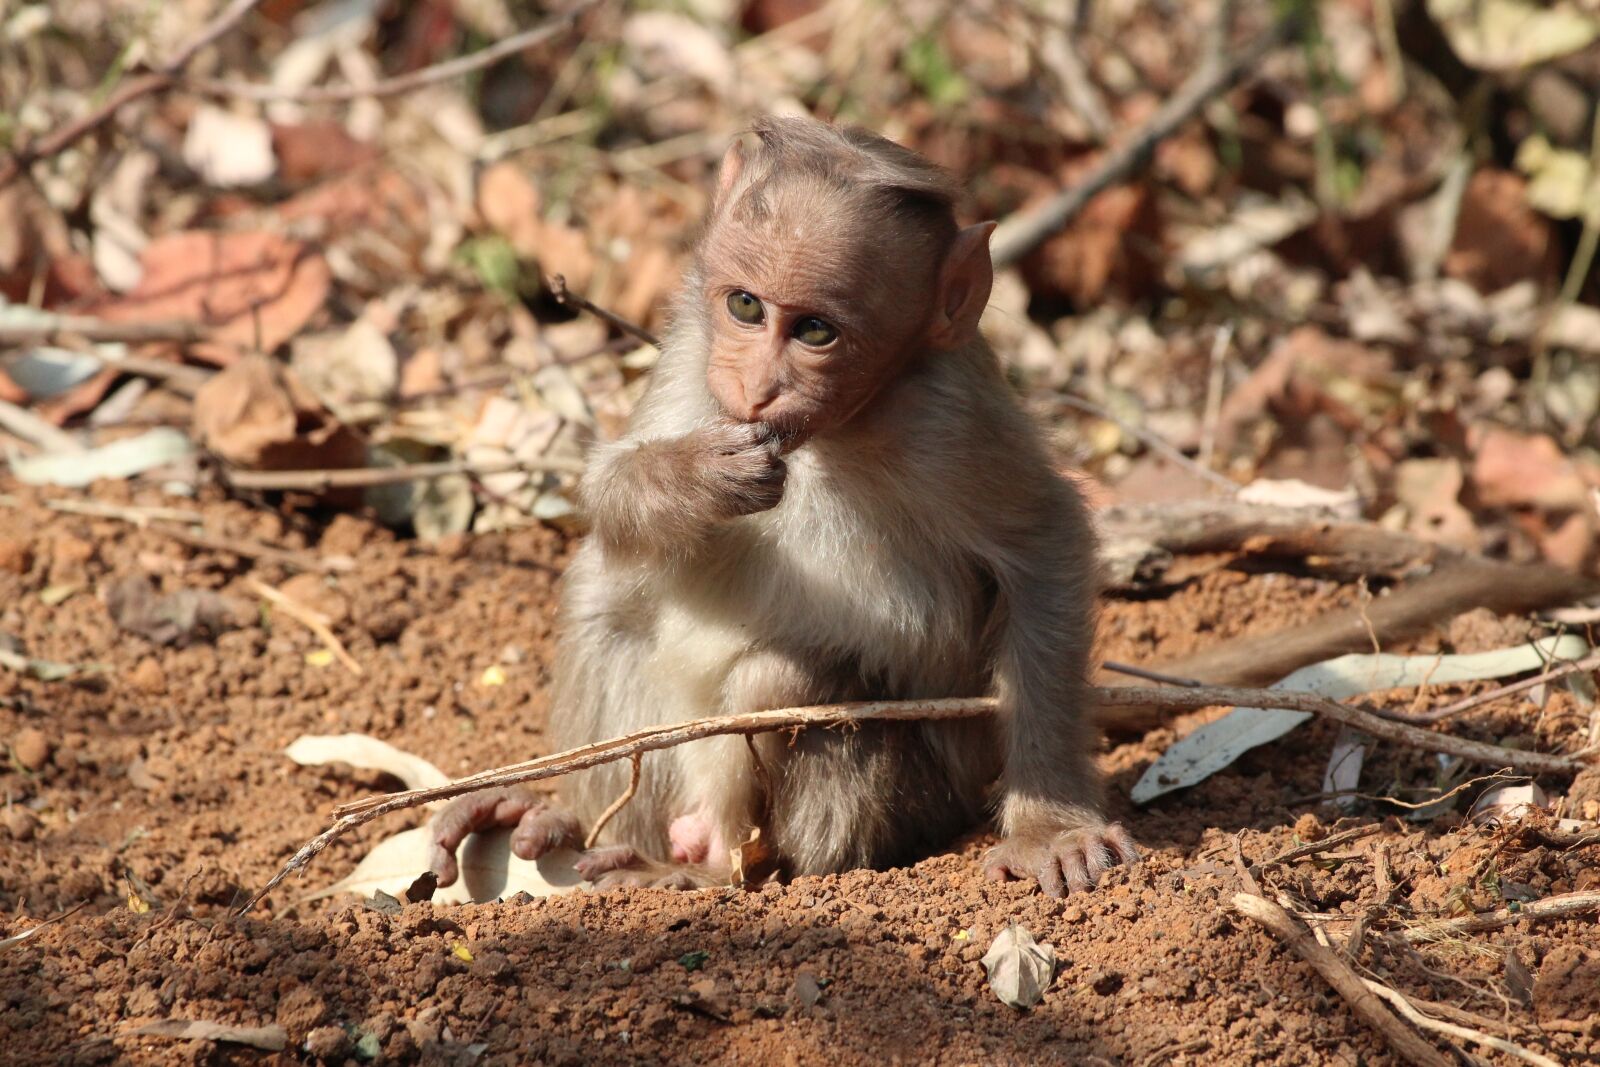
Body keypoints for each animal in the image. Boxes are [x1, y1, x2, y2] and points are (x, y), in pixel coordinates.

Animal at [428, 116, 1138, 897]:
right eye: (746, 305)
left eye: (815, 331)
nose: (758, 389)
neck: (837, 429)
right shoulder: (692, 346)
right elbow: (610, 485)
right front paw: (698, 477)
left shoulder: (947, 419)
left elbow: (1045, 546)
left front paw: (1049, 824)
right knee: (604, 595)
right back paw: (567, 821)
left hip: (903, 787)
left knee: (775, 680)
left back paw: (706, 863)